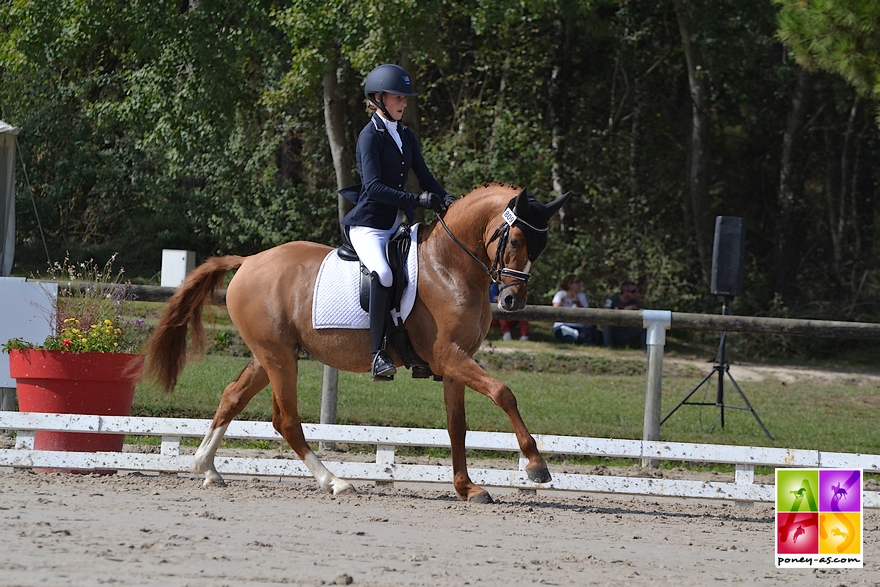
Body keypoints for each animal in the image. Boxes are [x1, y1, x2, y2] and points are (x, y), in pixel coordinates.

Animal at [147, 181, 568, 504]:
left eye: (541, 246)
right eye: (516, 239)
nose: (513, 300)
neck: (450, 265)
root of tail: (249, 260)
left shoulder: (455, 365)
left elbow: (457, 426)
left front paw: (467, 488)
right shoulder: (448, 356)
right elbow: (503, 393)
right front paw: (536, 465)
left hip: (269, 355)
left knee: (233, 397)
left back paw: (206, 468)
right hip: (278, 357)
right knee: (286, 420)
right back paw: (334, 481)